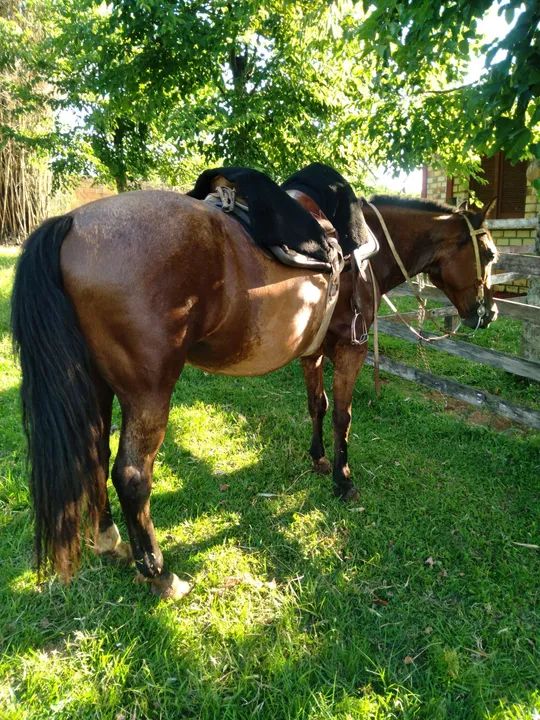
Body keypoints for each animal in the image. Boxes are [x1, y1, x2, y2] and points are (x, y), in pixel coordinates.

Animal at [11, 164, 498, 598]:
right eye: (490, 255)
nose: (488, 312)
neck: (364, 248)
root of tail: (71, 223)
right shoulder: (351, 349)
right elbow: (343, 416)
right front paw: (343, 480)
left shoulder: (311, 352)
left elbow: (317, 406)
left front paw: (318, 460)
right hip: (148, 392)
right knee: (131, 476)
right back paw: (159, 573)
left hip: (96, 384)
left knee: (93, 454)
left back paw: (109, 541)